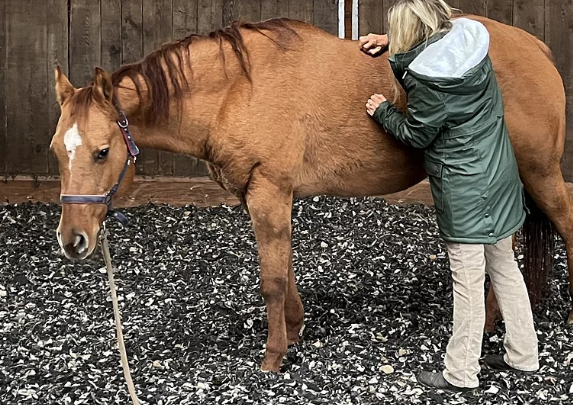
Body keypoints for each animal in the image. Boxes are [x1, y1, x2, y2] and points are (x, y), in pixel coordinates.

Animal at [50, 15, 570, 372]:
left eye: (101, 152)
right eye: (58, 150)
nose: (73, 240)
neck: (235, 90)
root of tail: (537, 47)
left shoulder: (269, 192)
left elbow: (272, 279)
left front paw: (273, 357)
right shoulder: (264, 196)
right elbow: (284, 268)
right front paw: (295, 331)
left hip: (540, 174)